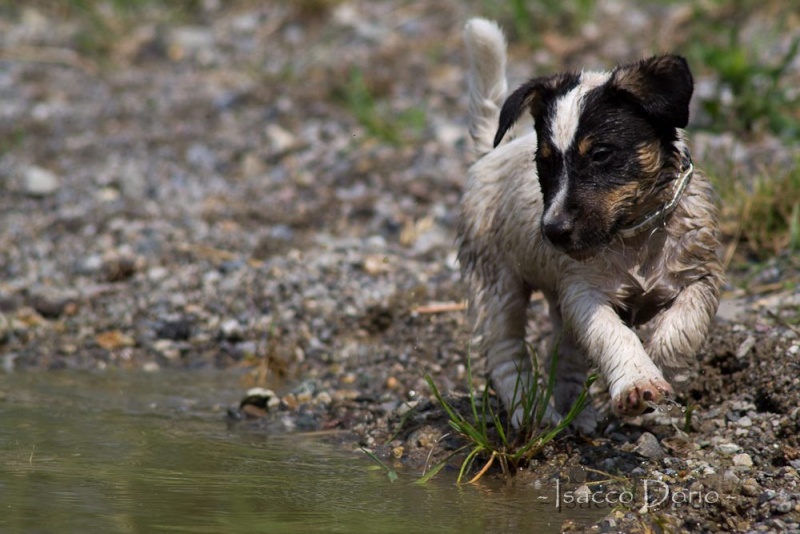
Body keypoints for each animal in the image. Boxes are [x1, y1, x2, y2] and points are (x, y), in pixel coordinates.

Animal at [456, 18, 724, 434]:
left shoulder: (699, 278)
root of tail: (489, 154)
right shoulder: (584, 293)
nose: (553, 232)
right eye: (544, 162)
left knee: (566, 357)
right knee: (506, 352)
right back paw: (529, 412)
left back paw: (577, 415)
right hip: (496, 285)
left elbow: (682, 329)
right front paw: (638, 381)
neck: (635, 233)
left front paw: (663, 370)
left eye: (600, 154)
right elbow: (614, 335)